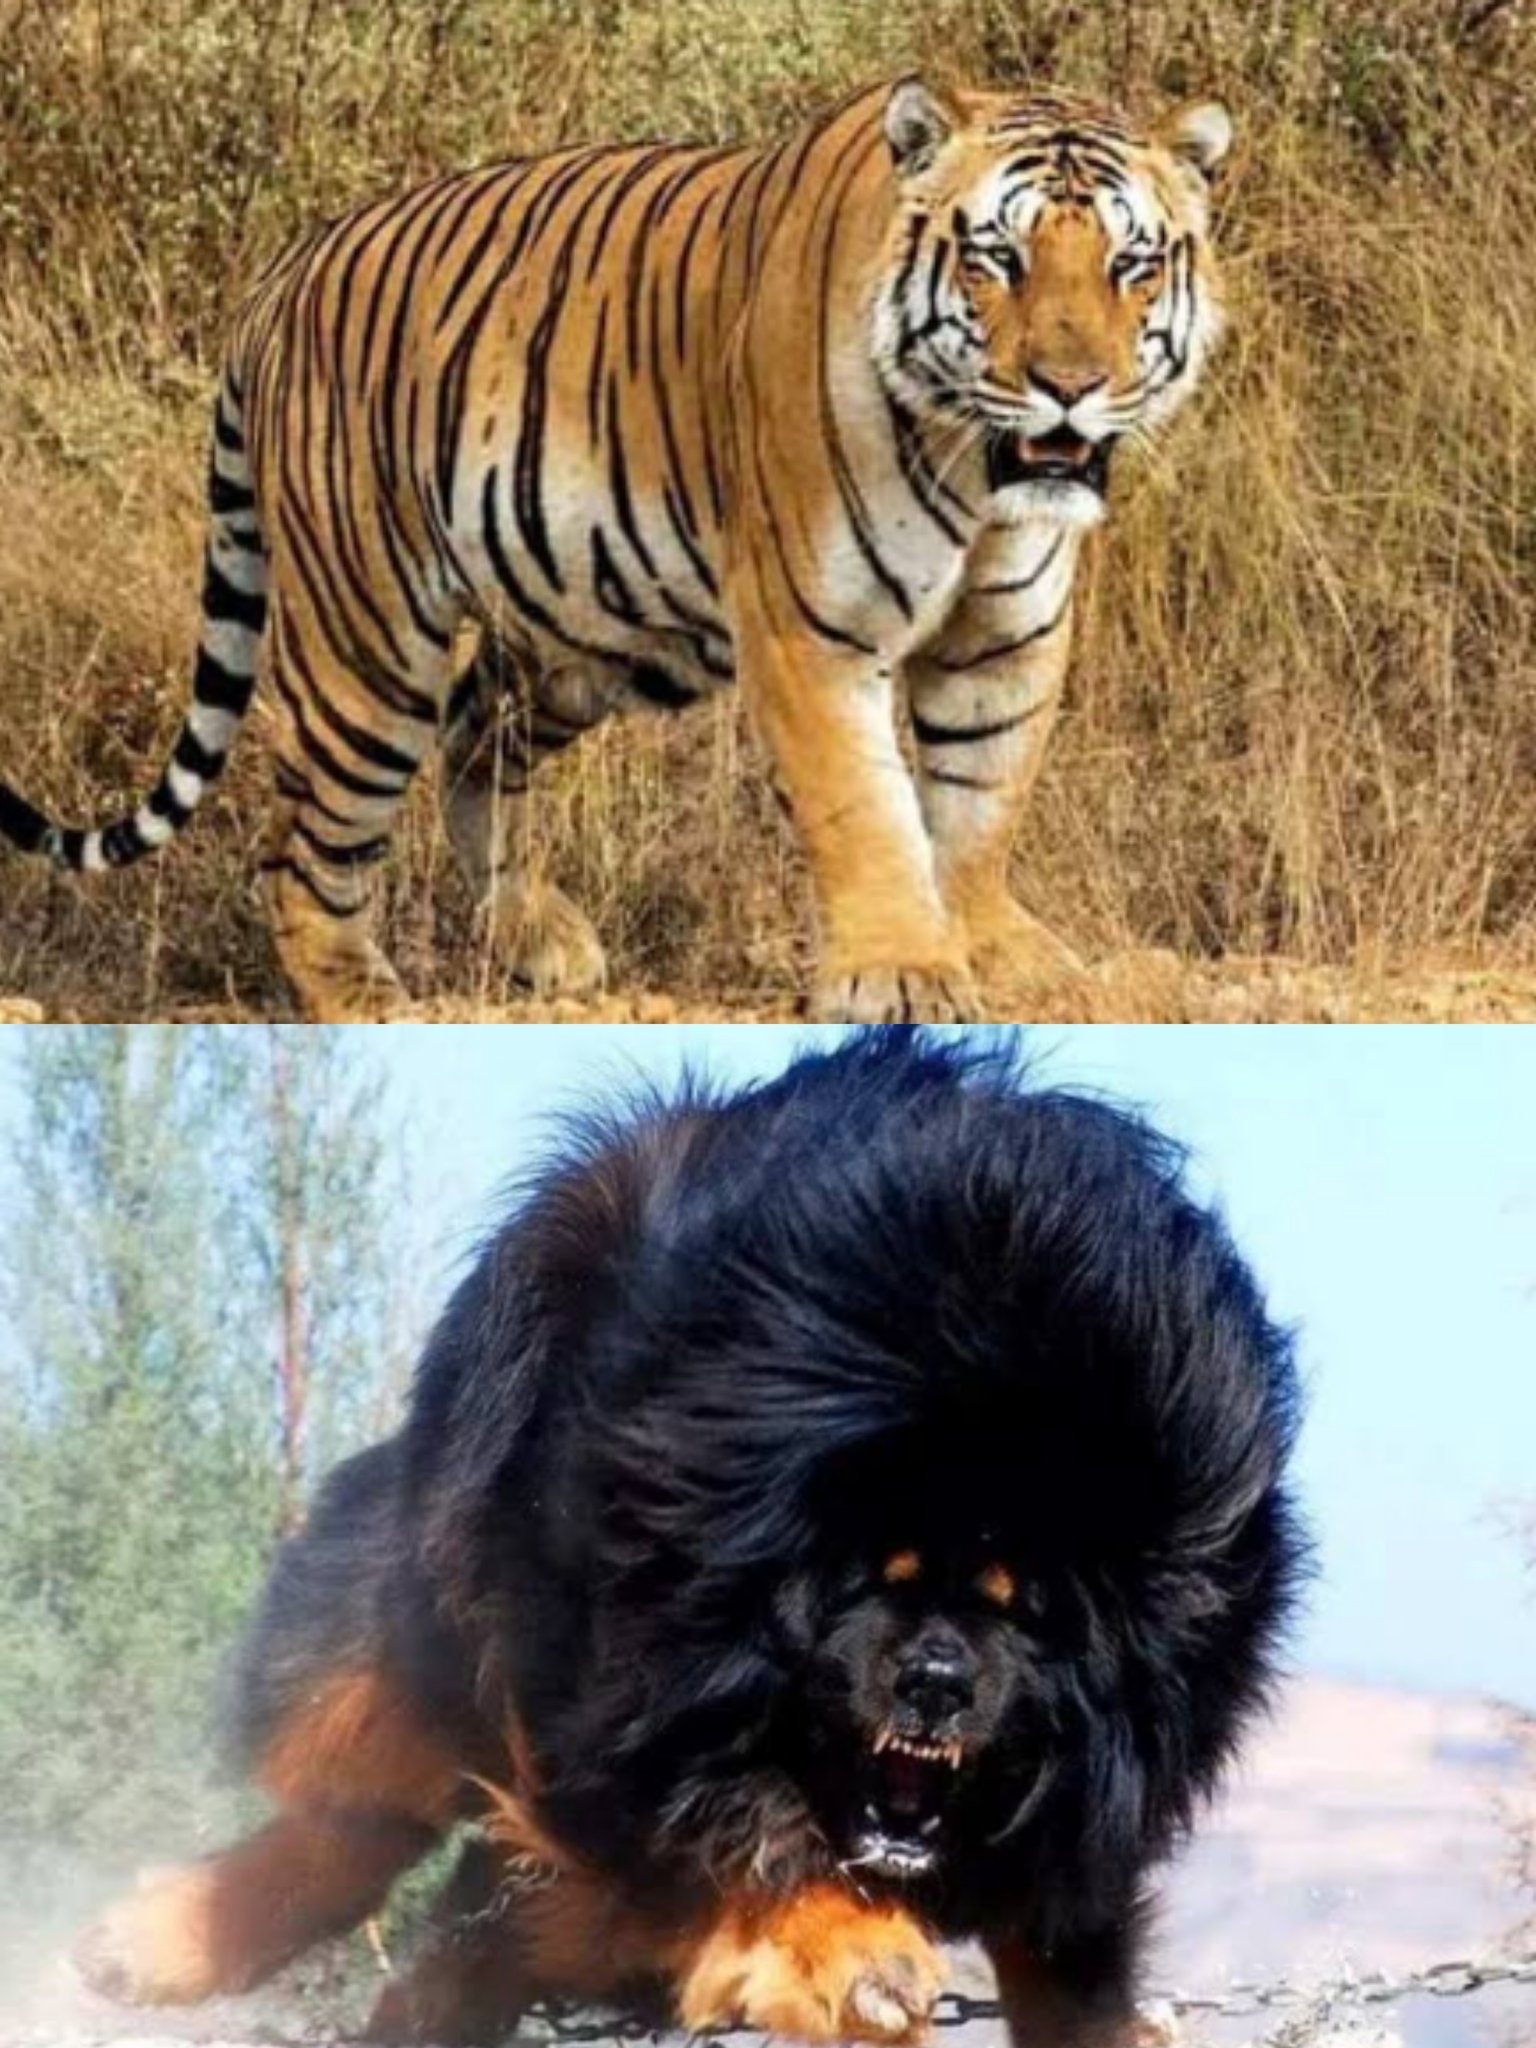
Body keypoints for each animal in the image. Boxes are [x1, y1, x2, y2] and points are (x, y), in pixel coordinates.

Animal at [0, 76, 1232, 1021]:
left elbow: (979, 801)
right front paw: (903, 971)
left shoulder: (1003, 639)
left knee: (474, 738)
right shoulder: (811, 630)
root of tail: (279, 277)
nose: (1070, 387)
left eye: (1130, 266)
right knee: (309, 837)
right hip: (369, 645)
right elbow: (867, 808)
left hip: (591, 633)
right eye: (998, 261)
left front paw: (997, 954)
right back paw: (363, 995)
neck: (977, 471)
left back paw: (539, 939)